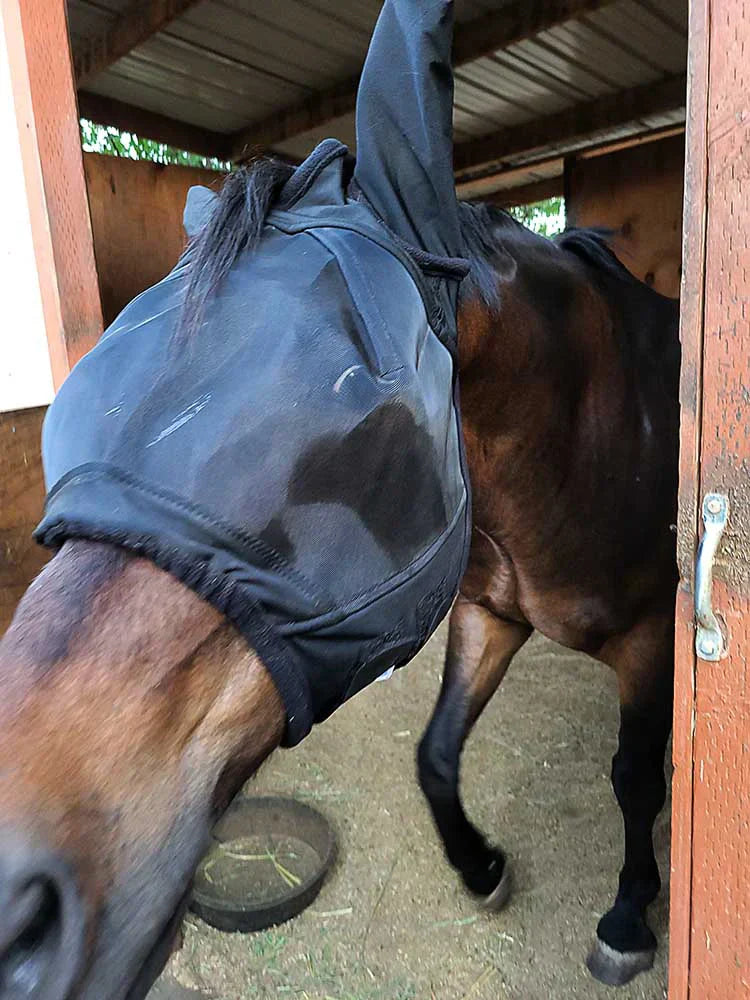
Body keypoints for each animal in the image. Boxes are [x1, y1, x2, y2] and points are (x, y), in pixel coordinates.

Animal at [0, 165, 680, 999]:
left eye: (351, 425)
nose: (19, 905)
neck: (588, 421)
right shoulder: (489, 613)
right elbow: (436, 753)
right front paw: (481, 867)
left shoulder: (653, 635)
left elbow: (634, 779)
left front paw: (627, 921)